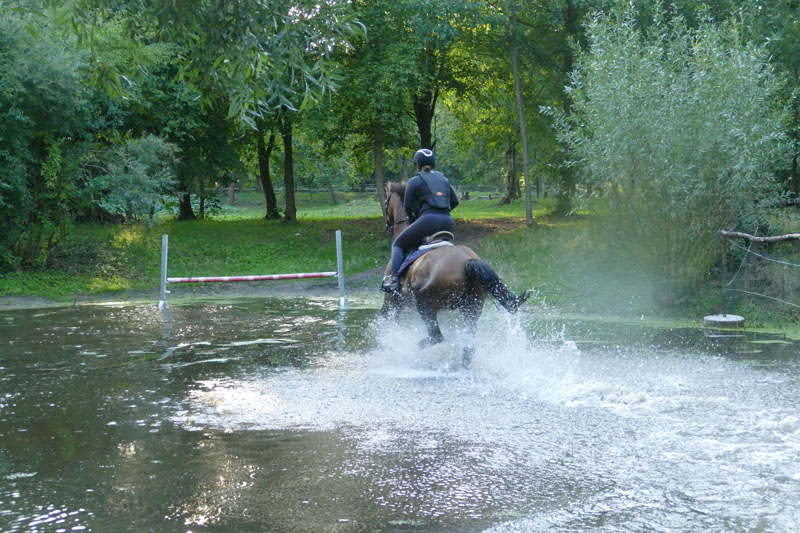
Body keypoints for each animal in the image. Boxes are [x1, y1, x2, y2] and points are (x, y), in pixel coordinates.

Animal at [379, 181, 530, 368]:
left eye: (386, 202)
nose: (387, 225)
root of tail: (467, 261)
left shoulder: (392, 302)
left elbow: (386, 322)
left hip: (425, 304)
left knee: (436, 336)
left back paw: (411, 351)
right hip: (471, 307)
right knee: (468, 346)